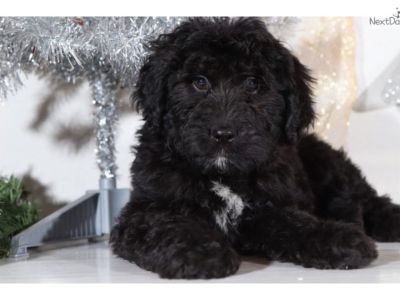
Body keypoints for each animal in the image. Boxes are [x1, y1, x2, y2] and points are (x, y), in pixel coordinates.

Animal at [110, 17, 400, 278]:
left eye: (253, 84)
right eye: (199, 82)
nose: (223, 134)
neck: (223, 176)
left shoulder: (269, 206)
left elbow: (296, 222)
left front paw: (339, 240)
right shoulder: (145, 210)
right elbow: (168, 225)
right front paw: (200, 252)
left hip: (327, 163)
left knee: (366, 197)